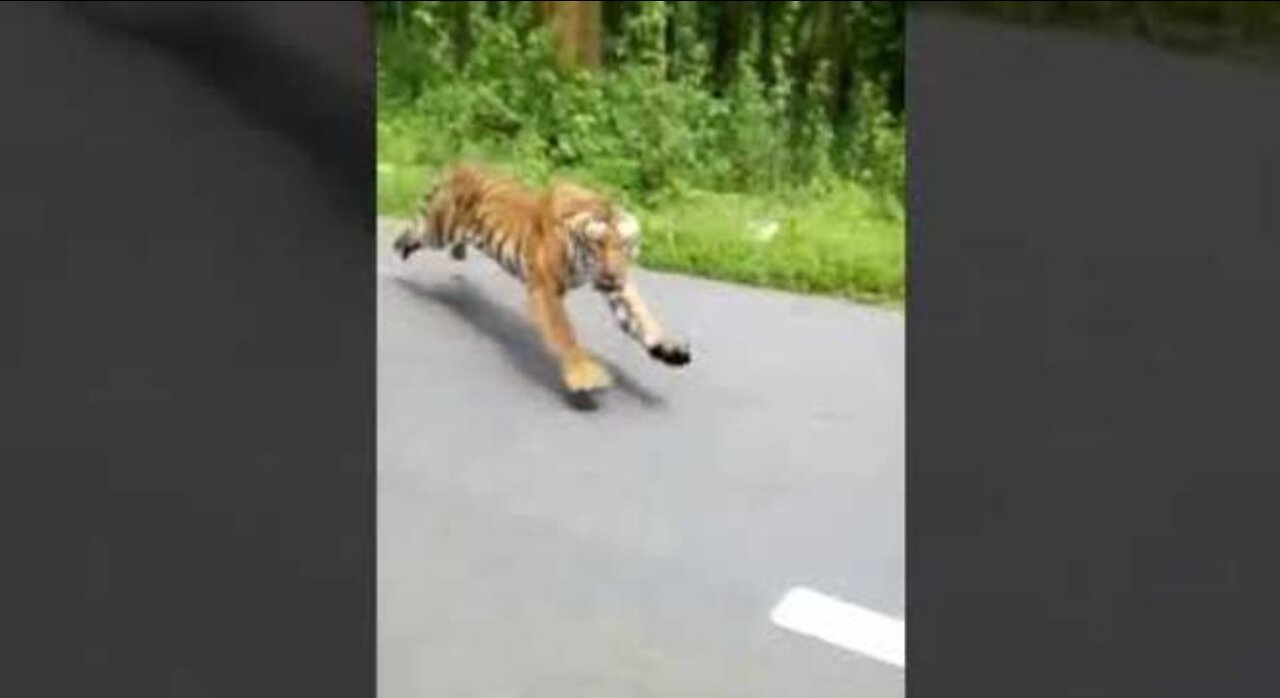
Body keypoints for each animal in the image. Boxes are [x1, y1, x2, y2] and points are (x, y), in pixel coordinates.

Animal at [389, 160, 691, 394]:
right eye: (598, 246)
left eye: (625, 246)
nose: (612, 273)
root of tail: (462, 165)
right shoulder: (545, 287)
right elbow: (565, 333)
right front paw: (585, 376)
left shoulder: (618, 287)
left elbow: (641, 316)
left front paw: (669, 349)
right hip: (439, 229)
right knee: (415, 230)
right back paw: (399, 254)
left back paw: (457, 254)